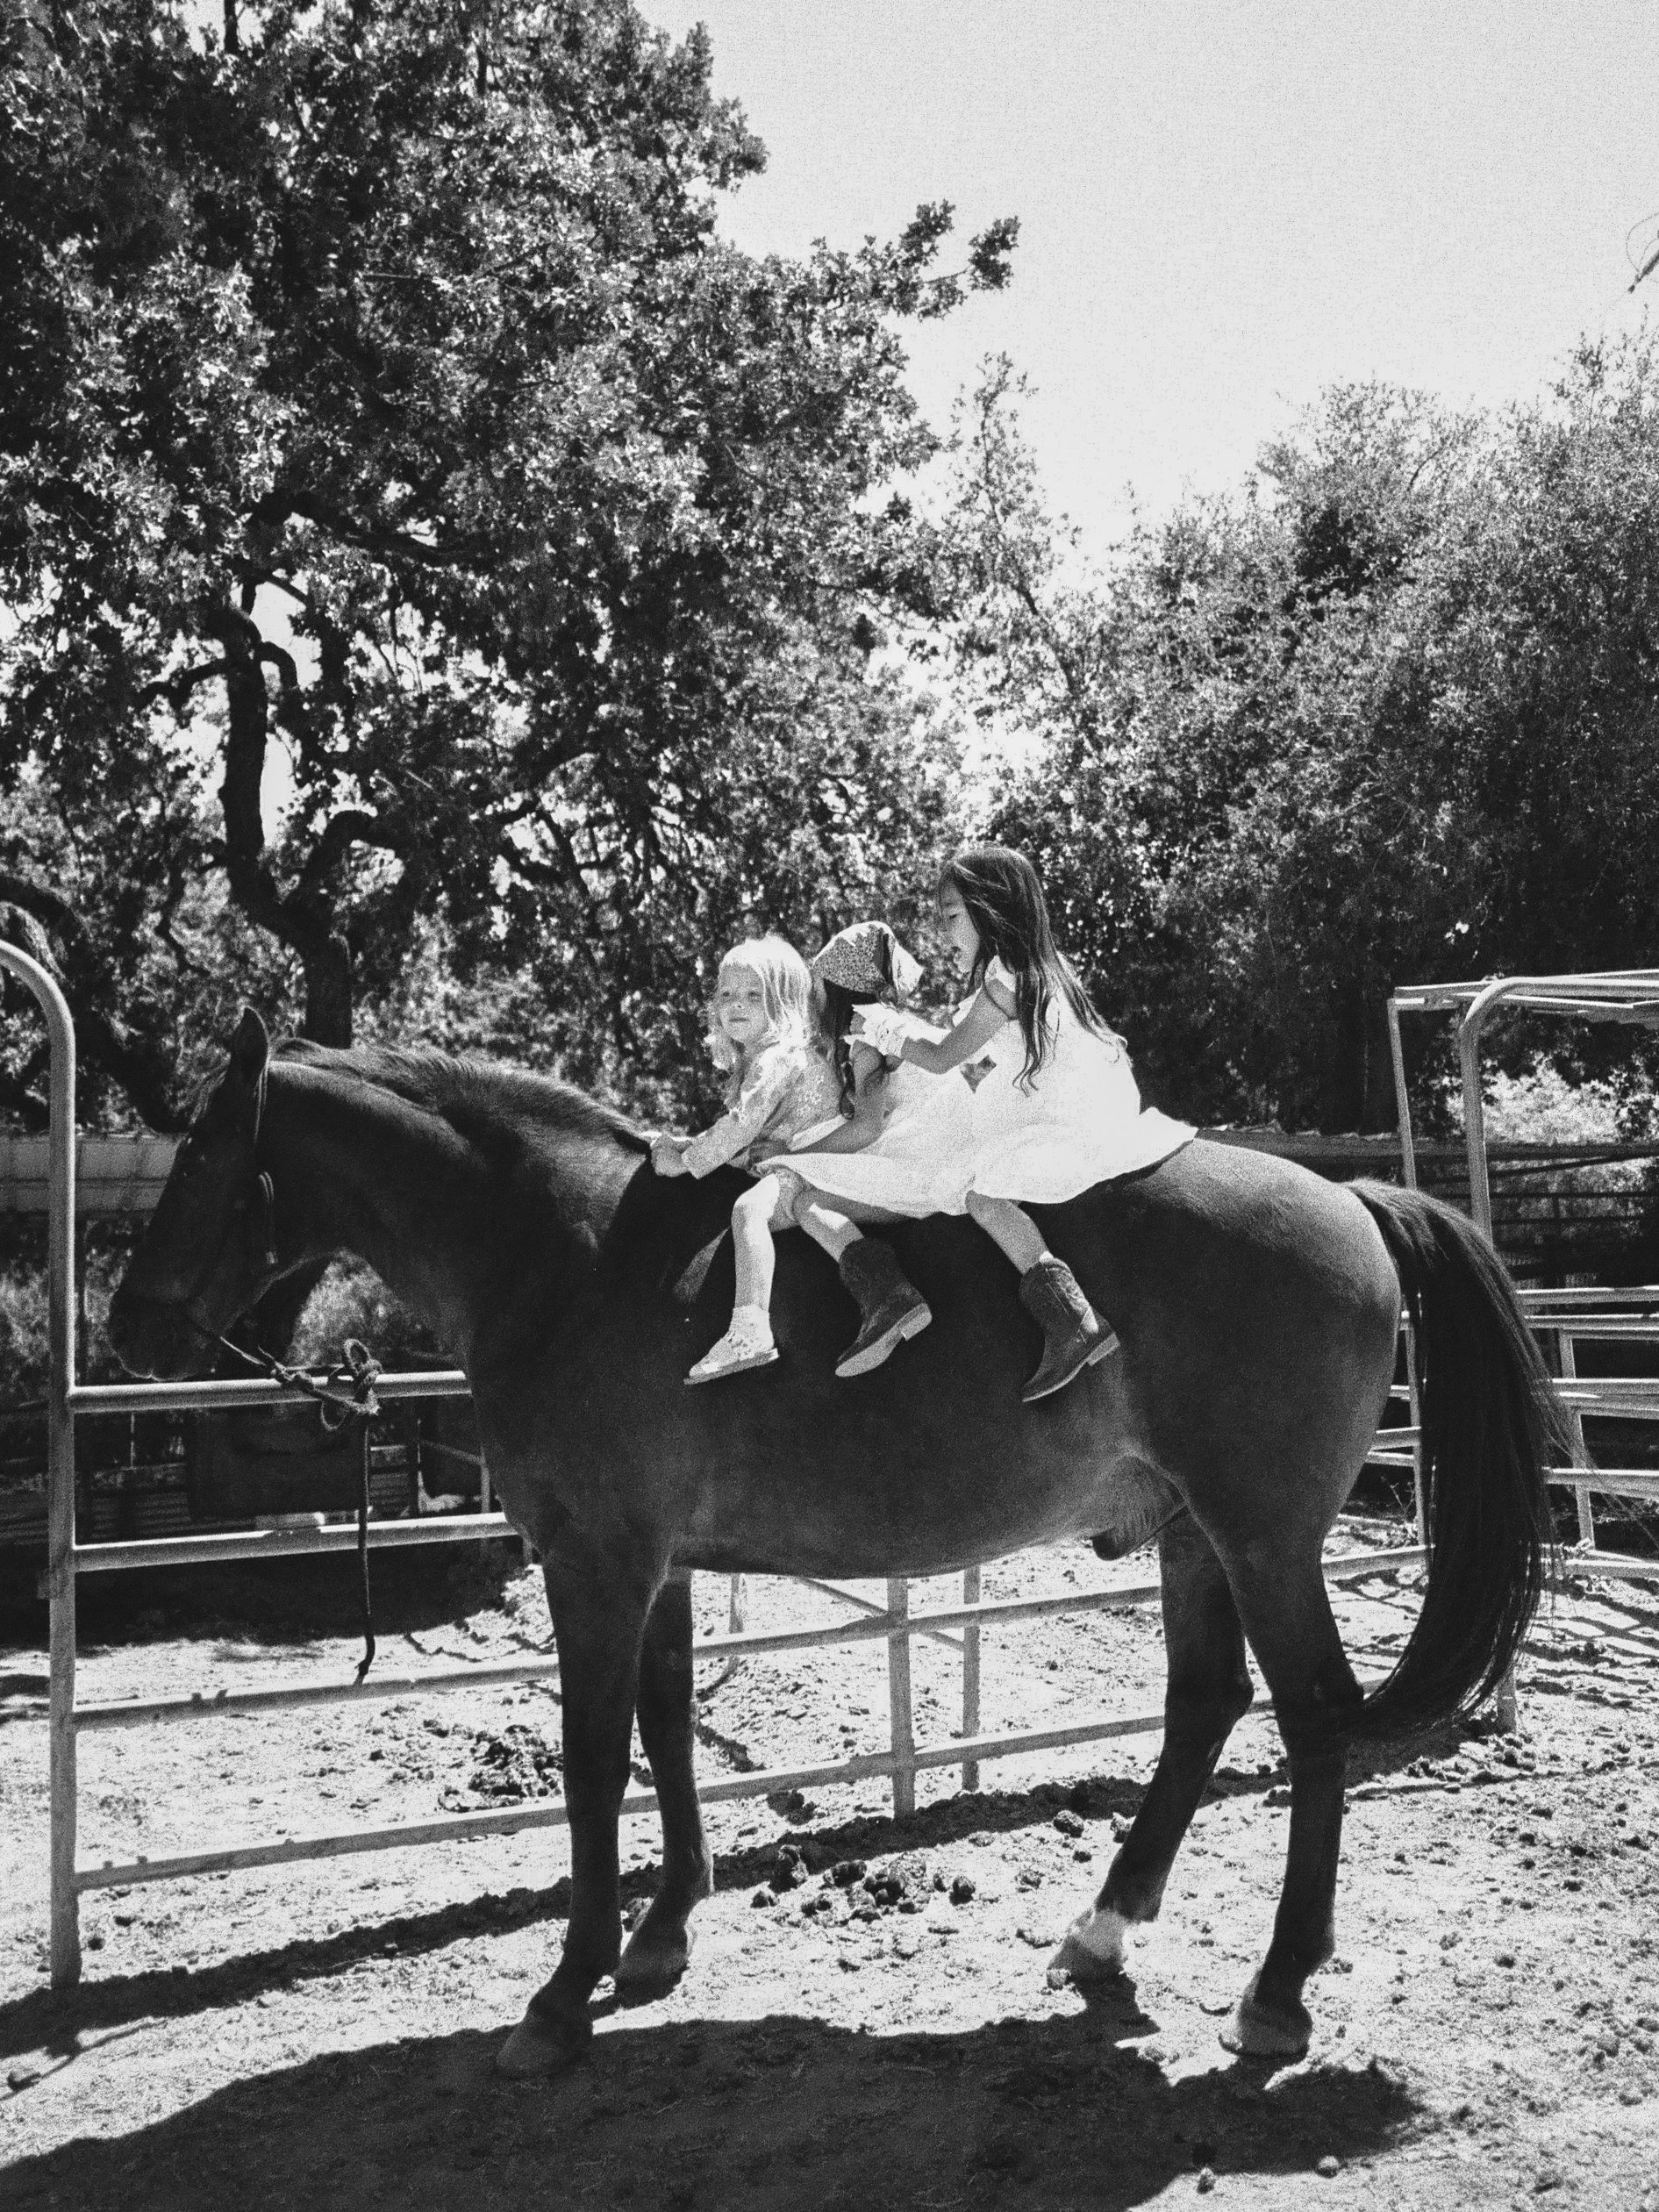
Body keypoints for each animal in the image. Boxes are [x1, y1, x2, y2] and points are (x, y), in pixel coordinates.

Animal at [108, 1011, 1561, 2077]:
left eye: (198, 1163)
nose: (126, 1327)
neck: (568, 1257)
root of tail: (1350, 1199)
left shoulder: (593, 1562)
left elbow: (592, 1762)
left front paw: (563, 1992)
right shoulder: (655, 1568)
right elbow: (667, 1725)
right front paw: (657, 1935)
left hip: (1261, 1537)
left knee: (1309, 1721)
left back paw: (1274, 1991)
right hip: (1192, 1533)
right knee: (1203, 1703)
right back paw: (1101, 1934)